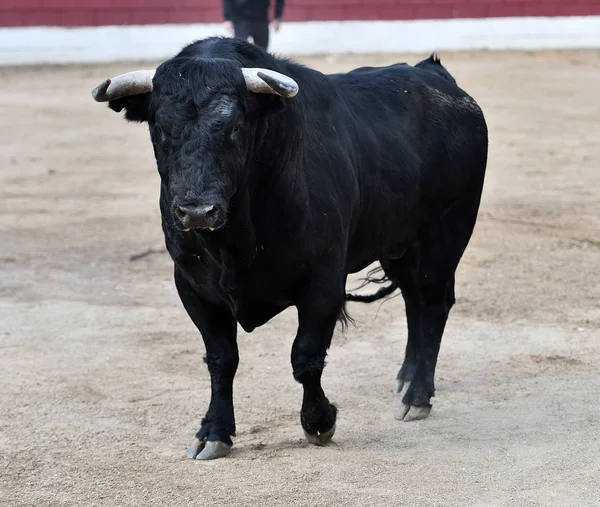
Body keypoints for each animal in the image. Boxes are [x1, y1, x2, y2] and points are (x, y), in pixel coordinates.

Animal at [92, 37, 488, 460]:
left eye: (235, 127)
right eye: (160, 128)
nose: (197, 211)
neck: (234, 241)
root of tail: (437, 77)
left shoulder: (322, 281)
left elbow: (306, 357)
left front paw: (319, 423)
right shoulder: (193, 286)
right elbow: (221, 359)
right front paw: (214, 431)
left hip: (445, 234)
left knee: (432, 305)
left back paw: (417, 397)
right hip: (397, 244)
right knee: (414, 302)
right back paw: (405, 379)